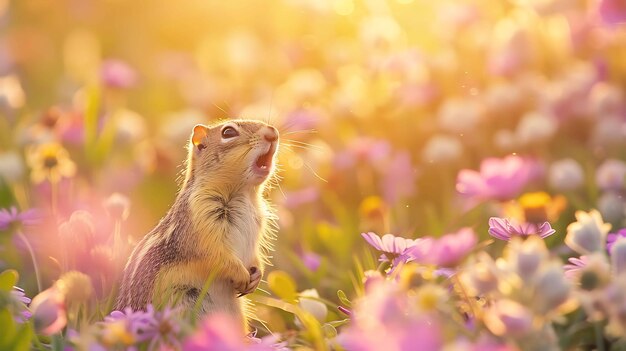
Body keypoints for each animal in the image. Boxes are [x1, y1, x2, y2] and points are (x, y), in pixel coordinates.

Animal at [114, 119, 278, 332]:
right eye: (228, 132)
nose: (272, 133)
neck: (245, 194)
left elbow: (255, 257)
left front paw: (257, 275)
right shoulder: (200, 221)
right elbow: (216, 256)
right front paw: (241, 275)